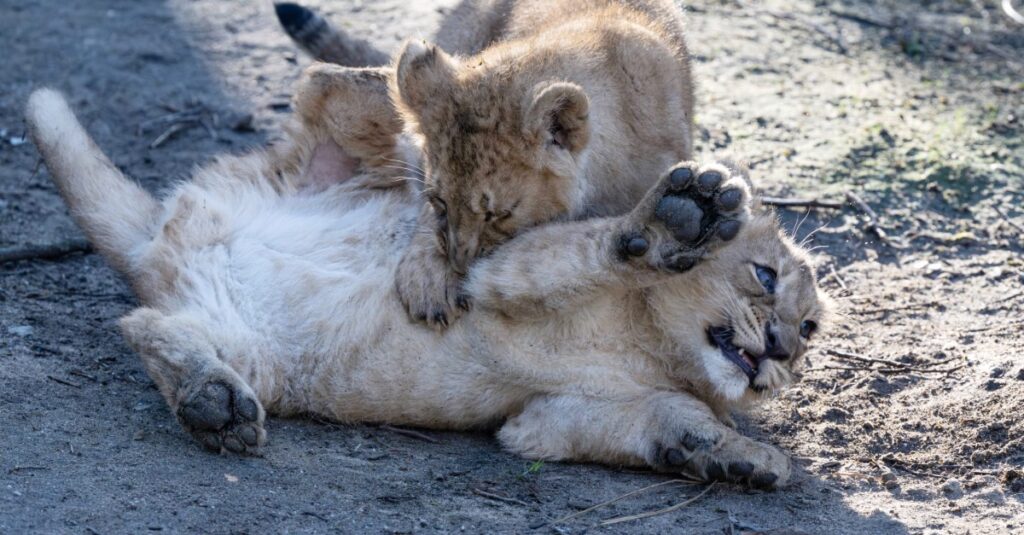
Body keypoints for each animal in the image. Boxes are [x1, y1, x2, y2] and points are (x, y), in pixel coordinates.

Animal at [25, 71, 827, 489]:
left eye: (812, 330)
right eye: (764, 276)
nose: (782, 349)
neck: (651, 346)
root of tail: (165, 233)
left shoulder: (543, 420)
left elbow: (666, 419)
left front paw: (739, 459)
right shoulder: (499, 276)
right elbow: (599, 245)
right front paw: (684, 220)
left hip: (256, 353)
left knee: (145, 324)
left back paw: (212, 404)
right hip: (353, 153)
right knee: (340, 91)